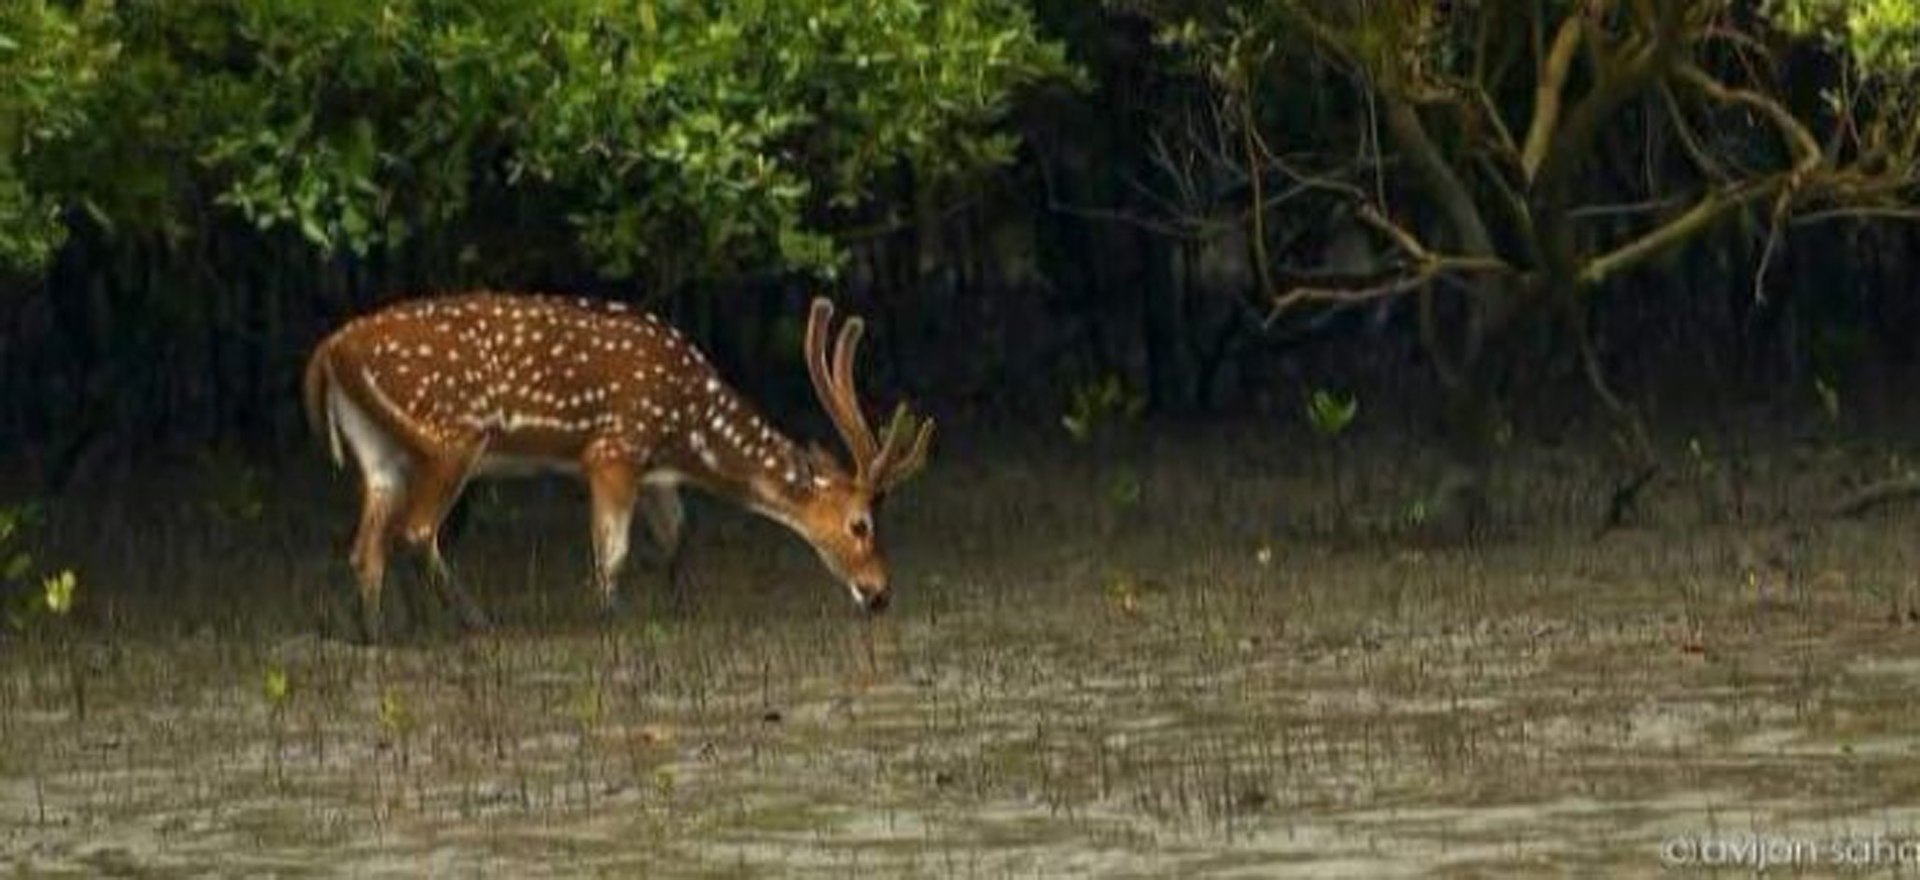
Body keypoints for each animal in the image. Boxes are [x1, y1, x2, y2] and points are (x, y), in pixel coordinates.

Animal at [302, 292, 933, 641]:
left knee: (367, 548)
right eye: (860, 524)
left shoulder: (654, 473)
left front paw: (681, 608)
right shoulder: (613, 449)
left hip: (379, 452)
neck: (689, 431)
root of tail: (329, 351)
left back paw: (378, 633)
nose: (880, 593)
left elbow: (676, 536)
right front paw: (614, 618)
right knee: (416, 531)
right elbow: (611, 555)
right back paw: (477, 622)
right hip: (452, 436)